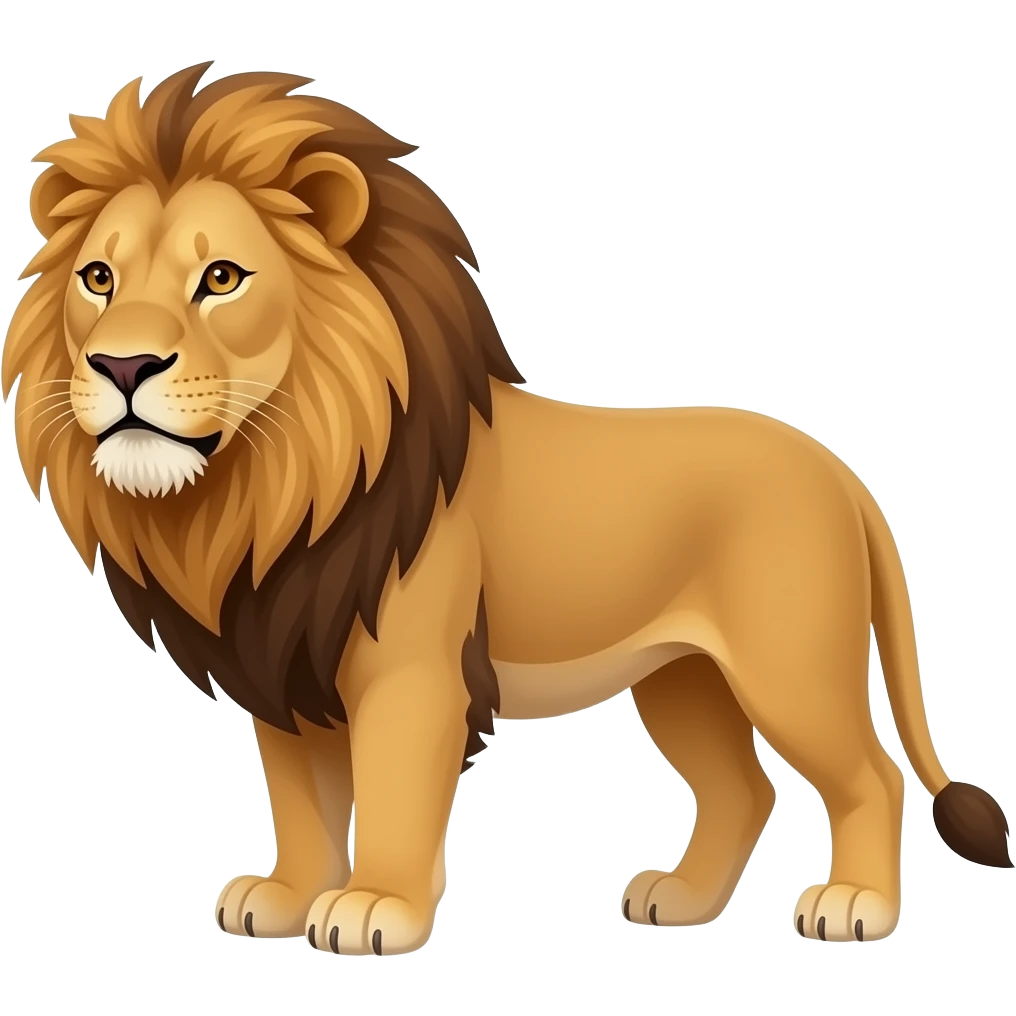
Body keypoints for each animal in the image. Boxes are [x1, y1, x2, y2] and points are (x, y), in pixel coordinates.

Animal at [3, 63, 1011, 956]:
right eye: (98, 279)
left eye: (221, 277)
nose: (122, 366)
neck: (270, 487)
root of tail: (841, 472)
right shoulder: (283, 665)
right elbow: (301, 803)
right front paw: (285, 898)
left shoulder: (410, 671)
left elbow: (394, 794)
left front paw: (375, 909)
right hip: (683, 676)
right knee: (742, 791)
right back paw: (681, 901)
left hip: (788, 666)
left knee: (871, 776)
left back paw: (855, 907)